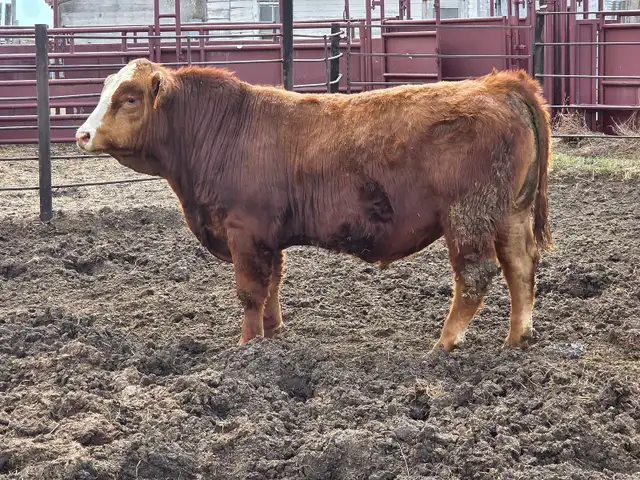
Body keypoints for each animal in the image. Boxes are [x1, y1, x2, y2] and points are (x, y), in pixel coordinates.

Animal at [75, 58, 552, 352]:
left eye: (129, 97)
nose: (82, 134)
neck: (223, 128)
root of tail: (496, 85)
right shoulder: (267, 237)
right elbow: (272, 285)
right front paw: (273, 333)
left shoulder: (244, 232)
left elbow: (250, 290)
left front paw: (246, 345)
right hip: (509, 213)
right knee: (520, 267)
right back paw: (517, 337)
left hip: (467, 216)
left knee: (475, 275)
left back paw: (444, 342)